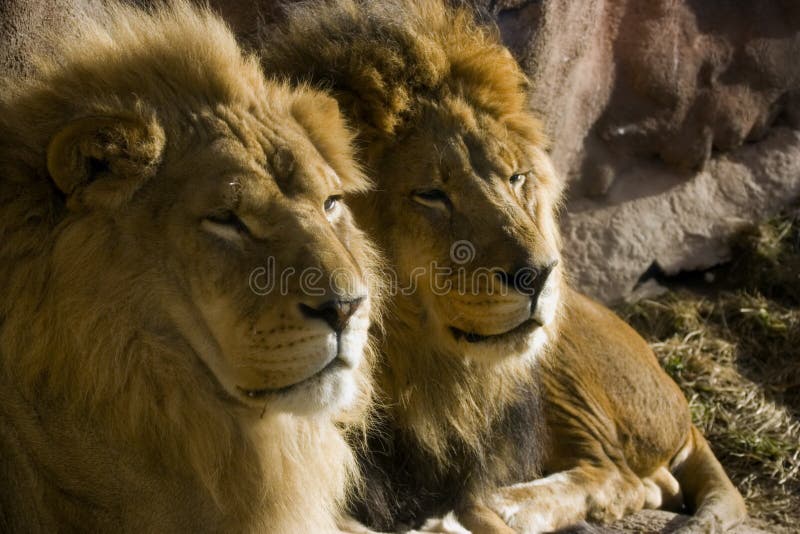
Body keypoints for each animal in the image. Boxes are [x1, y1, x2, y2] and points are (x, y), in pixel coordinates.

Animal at [259, 0, 747, 532]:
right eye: (430, 194)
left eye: (517, 178)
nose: (542, 274)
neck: (401, 370)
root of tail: (679, 400)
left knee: (622, 477)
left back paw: (492, 509)